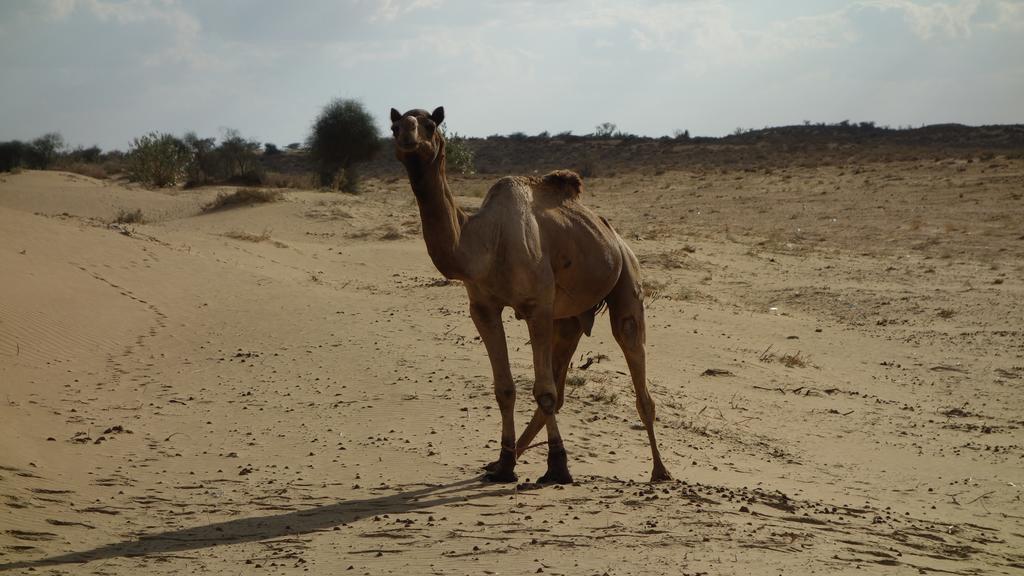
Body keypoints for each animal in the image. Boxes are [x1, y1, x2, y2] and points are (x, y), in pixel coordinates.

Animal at [389, 105, 671, 481]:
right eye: (394, 126)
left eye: (430, 125)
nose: (407, 134)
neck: (485, 242)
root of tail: (614, 234)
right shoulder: (482, 308)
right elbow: (506, 389)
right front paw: (505, 464)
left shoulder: (537, 306)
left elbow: (543, 391)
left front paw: (558, 467)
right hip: (569, 317)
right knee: (563, 380)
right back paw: (505, 459)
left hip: (626, 278)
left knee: (633, 361)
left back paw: (660, 470)